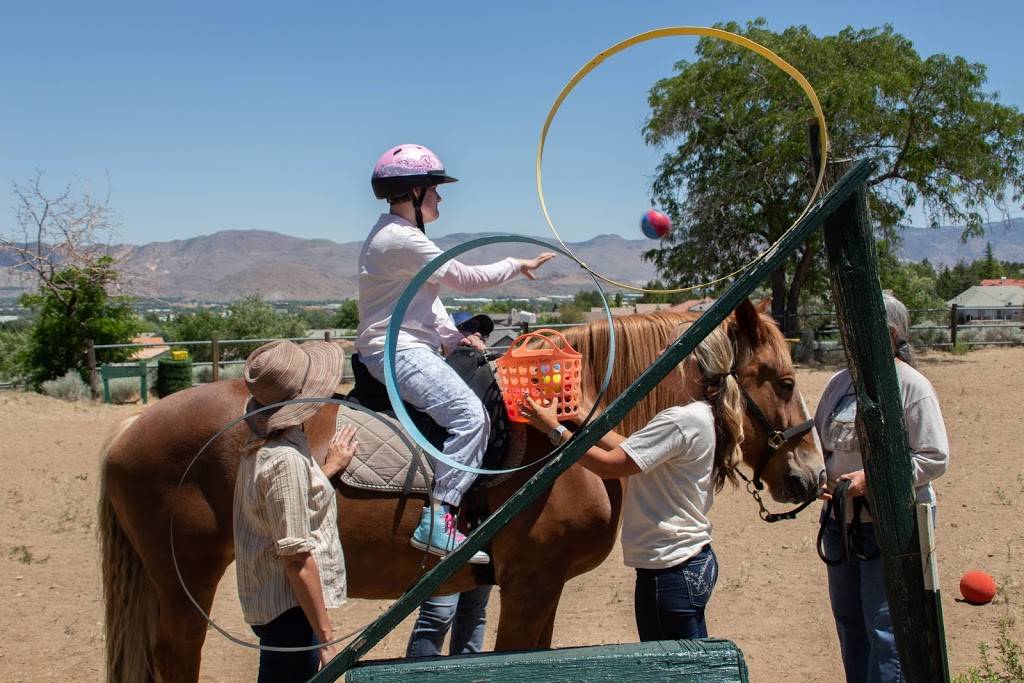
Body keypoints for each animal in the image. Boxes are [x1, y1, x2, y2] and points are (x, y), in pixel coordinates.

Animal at [97, 301, 823, 683]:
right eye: (785, 381)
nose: (811, 477)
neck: (578, 429)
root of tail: (130, 429)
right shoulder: (531, 583)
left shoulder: (528, 587)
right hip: (185, 581)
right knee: (175, 657)